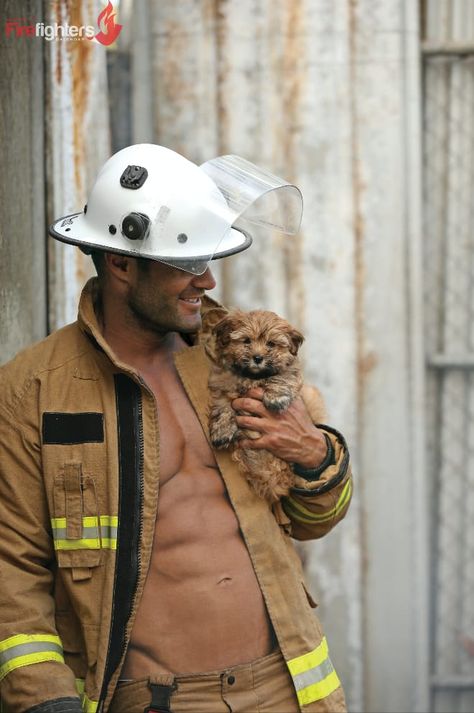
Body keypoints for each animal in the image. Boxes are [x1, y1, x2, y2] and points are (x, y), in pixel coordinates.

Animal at [207, 310, 326, 500]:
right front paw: (222, 430)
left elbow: (281, 377)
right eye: (246, 341)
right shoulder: (222, 381)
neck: (253, 377)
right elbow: (223, 404)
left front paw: (275, 398)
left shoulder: (290, 371)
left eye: (271, 344)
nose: (257, 358)